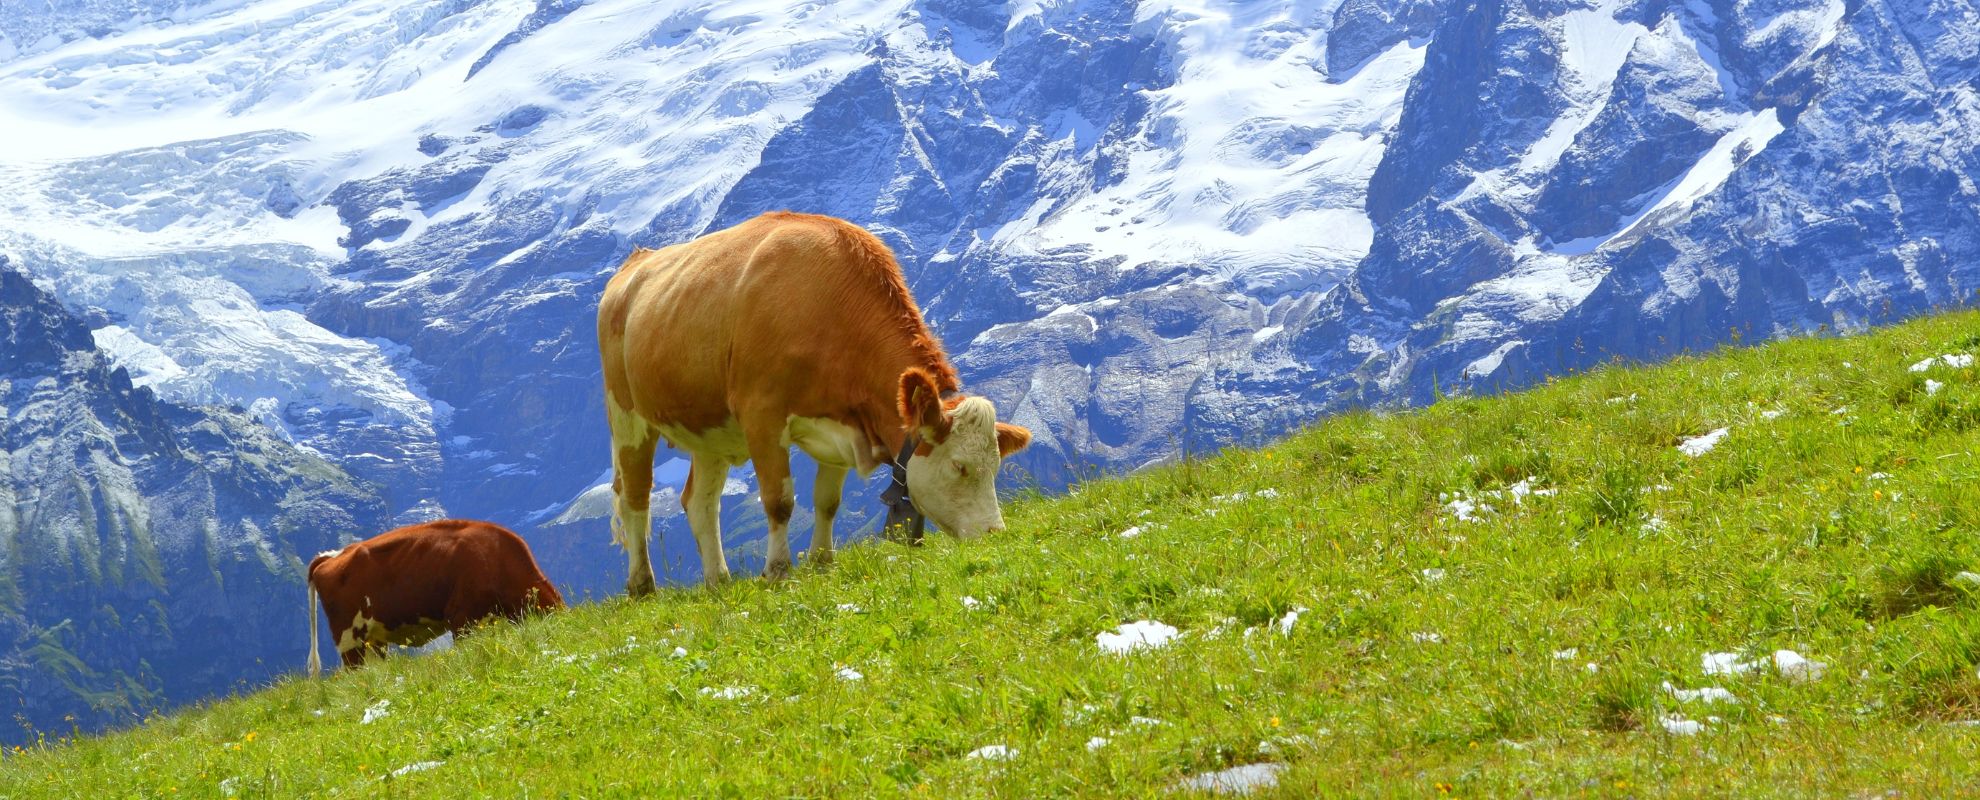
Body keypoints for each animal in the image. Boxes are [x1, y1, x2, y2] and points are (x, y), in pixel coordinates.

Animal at [598, 211, 1032, 593]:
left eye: (996, 466)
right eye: (959, 466)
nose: (994, 533)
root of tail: (636, 261)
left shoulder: (843, 425)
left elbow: (827, 502)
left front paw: (823, 561)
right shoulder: (762, 416)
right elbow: (780, 501)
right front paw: (778, 571)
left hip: (709, 429)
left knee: (700, 502)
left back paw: (718, 581)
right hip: (627, 417)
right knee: (635, 497)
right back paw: (642, 585)